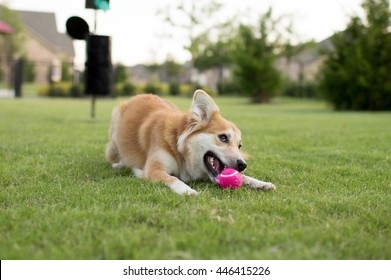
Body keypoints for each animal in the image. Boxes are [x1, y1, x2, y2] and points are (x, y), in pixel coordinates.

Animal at [105, 89, 276, 195]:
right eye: (223, 137)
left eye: (239, 145)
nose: (242, 165)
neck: (178, 147)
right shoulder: (154, 169)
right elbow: (173, 178)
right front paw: (188, 191)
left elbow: (245, 178)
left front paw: (260, 183)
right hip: (114, 139)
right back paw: (119, 164)